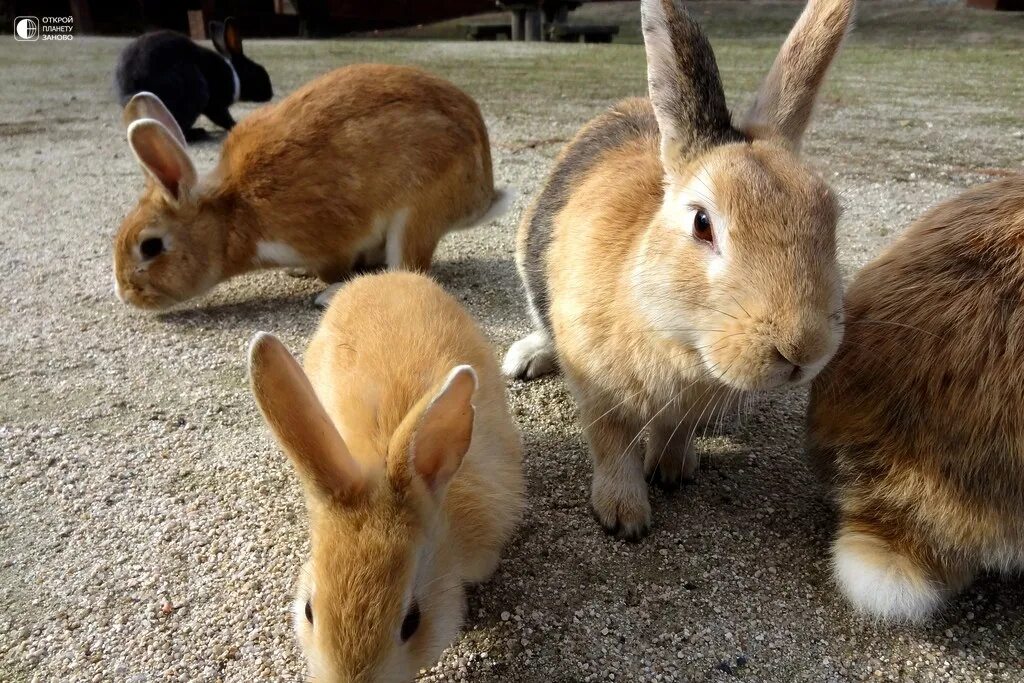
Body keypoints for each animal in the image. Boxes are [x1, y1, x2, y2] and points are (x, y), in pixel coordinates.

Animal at [115, 19, 272, 141]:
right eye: (257, 72)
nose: (270, 94)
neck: (234, 75)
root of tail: (134, 95)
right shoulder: (215, 105)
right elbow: (223, 117)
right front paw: (235, 124)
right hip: (195, 91)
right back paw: (198, 133)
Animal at [115, 63, 507, 309]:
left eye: (150, 246)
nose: (125, 293)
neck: (230, 217)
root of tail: (482, 191)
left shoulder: (325, 243)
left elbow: (334, 263)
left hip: (414, 214)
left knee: (407, 267)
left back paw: (332, 295)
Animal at [499, 0, 851, 540]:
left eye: (831, 215)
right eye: (703, 223)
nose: (802, 350)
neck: (679, 339)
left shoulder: (686, 405)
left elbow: (676, 431)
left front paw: (673, 470)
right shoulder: (601, 393)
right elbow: (612, 446)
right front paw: (623, 516)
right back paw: (526, 358)